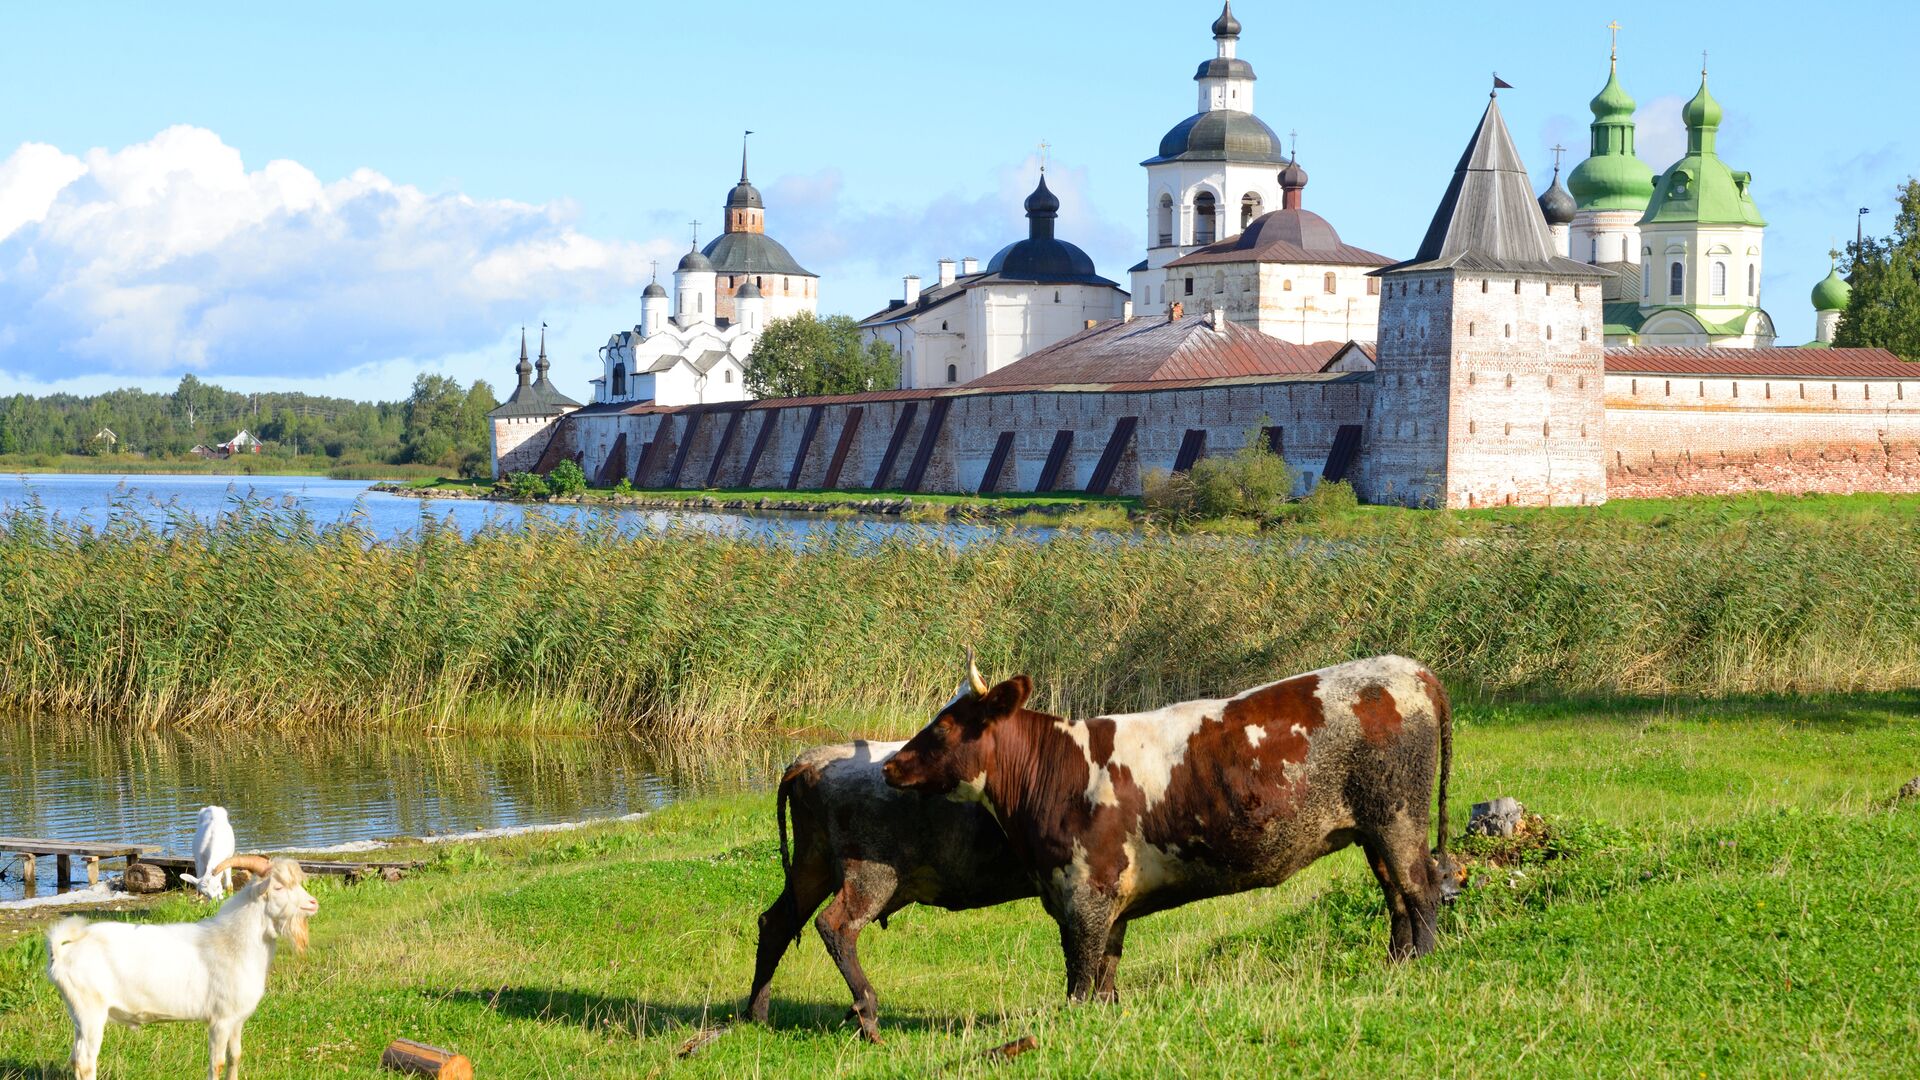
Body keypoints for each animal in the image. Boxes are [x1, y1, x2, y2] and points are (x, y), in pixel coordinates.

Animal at [44, 853, 322, 1068]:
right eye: (278, 887)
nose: (313, 903)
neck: (232, 943)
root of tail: (64, 953)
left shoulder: (237, 1020)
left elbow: (235, 1058)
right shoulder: (220, 1020)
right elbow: (217, 1063)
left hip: (78, 1018)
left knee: (75, 1058)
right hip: (90, 1013)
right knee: (85, 1061)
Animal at [744, 734, 1036, 1037]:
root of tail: (810, 760)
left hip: (813, 864)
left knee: (775, 923)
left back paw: (757, 1015)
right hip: (870, 878)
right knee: (836, 925)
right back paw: (868, 1015)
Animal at [883, 653, 1451, 999]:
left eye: (946, 726)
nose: (890, 765)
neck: (1059, 770)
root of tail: (1410, 668)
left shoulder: (1086, 891)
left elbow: (1080, 972)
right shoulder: (1107, 897)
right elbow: (1106, 969)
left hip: (1398, 814)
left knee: (1419, 890)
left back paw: (1420, 966)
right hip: (1375, 829)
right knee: (1396, 896)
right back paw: (1395, 964)